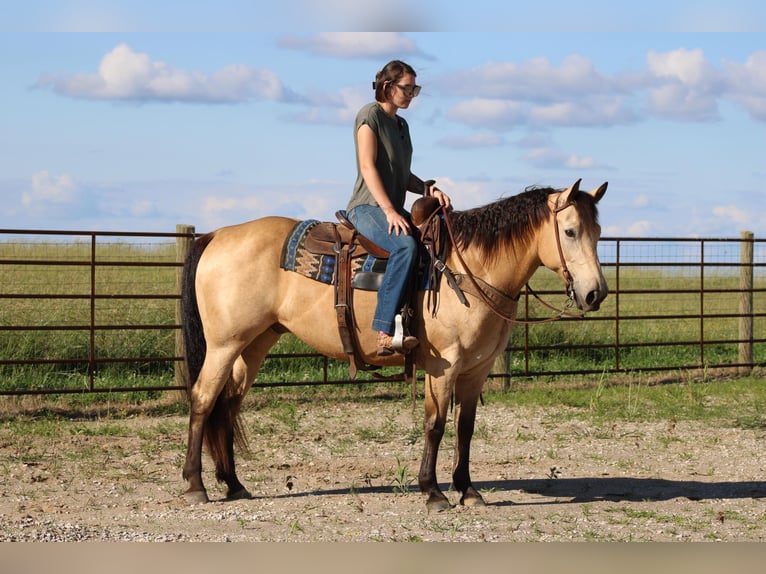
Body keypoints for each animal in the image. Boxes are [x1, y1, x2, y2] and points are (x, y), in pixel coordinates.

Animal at [180, 178, 608, 511]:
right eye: (570, 231)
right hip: (224, 345)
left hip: (253, 344)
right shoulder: (443, 366)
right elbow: (435, 425)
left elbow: (465, 428)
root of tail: (217, 235)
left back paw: (233, 484)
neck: (467, 270)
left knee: (227, 404)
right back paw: (196, 485)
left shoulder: (476, 370)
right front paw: (433, 492)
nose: (595, 294)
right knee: (203, 400)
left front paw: (468, 490)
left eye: (599, 233)